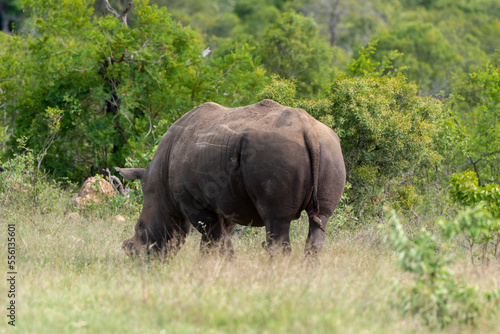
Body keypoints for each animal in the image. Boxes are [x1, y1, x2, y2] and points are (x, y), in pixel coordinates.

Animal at [115, 98, 346, 256]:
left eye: (140, 228)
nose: (139, 261)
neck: (160, 183)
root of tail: (309, 130)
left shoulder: (193, 202)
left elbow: (216, 240)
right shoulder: (226, 204)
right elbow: (212, 242)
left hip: (278, 152)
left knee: (276, 220)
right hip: (331, 149)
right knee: (320, 219)